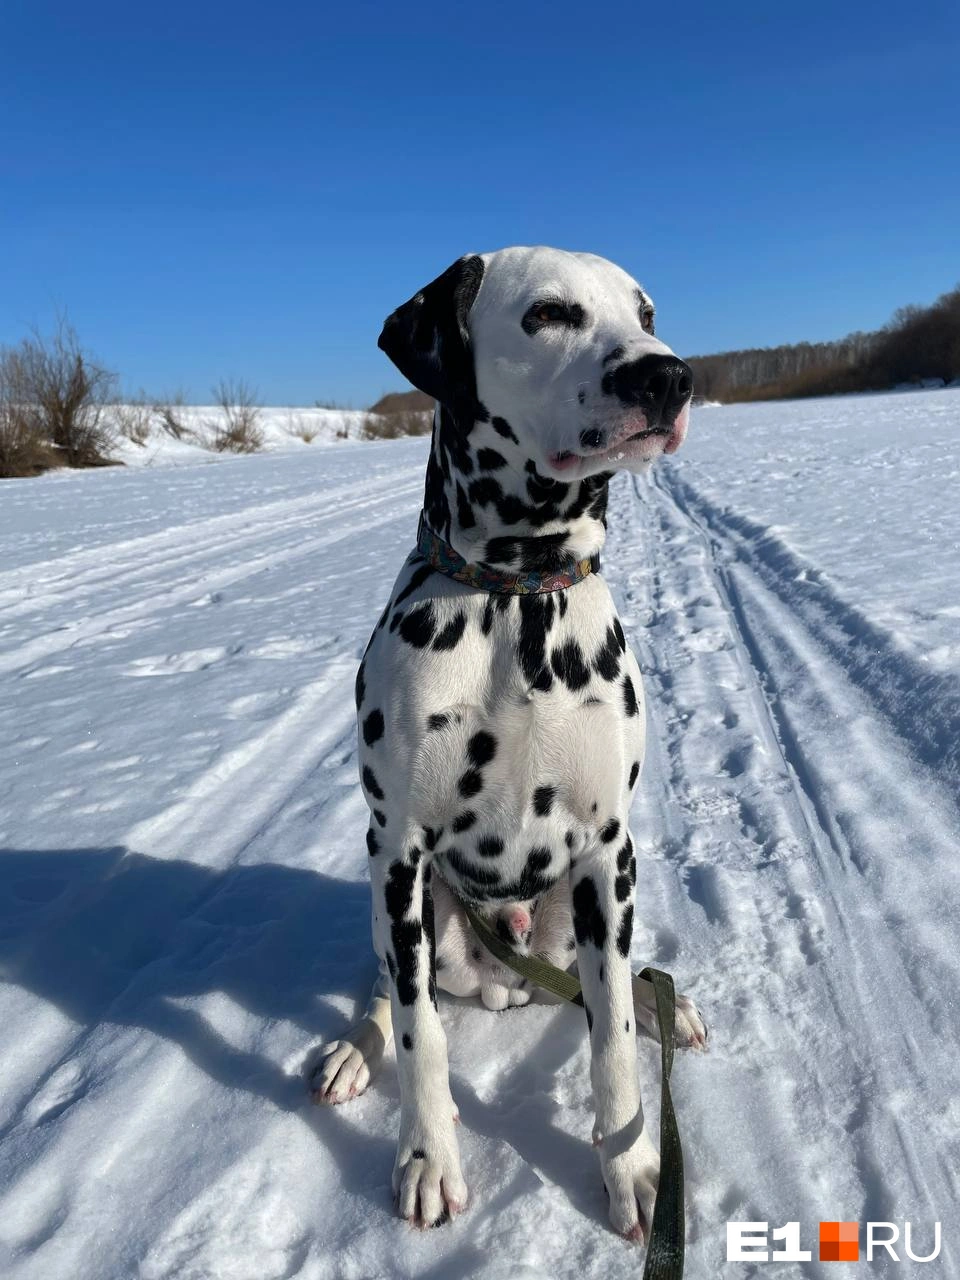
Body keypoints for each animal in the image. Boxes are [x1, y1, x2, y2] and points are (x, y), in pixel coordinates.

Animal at [313, 247, 706, 1239]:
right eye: (549, 314)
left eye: (646, 312)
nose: (669, 375)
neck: (515, 596)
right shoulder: (399, 852)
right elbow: (421, 1035)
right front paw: (427, 1158)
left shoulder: (608, 852)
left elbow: (611, 1043)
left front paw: (632, 1167)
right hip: (404, 906)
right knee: (386, 990)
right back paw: (354, 1048)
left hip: (589, 907)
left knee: (616, 986)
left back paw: (670, 1008)